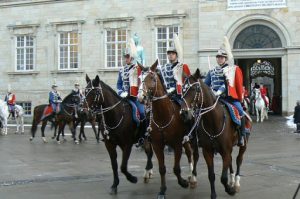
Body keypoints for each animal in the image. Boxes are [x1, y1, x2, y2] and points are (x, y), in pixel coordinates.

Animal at [139, 60, 198, 199]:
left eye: (152, 78)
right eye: (139, 78)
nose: (141, 96)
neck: (163, 116)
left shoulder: (177, 144)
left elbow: (176, 168)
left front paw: (183, 182)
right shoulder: (157, 145)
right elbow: (162, 169)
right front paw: (162, 190)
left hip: (190, 139)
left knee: (192, 154)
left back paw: (192, 178)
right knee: (189, 153)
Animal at [178, 69, 251, 199]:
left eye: (194, 89)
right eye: (182, 89)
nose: (183, 113)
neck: (213, 121)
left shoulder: (225, 150)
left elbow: (223, 178)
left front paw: (230, 190)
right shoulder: (208, 151)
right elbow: (211, 175)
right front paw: (214, 194)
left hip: (243, 143)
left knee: (239, 159)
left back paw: (236, 183)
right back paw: (232, 180)